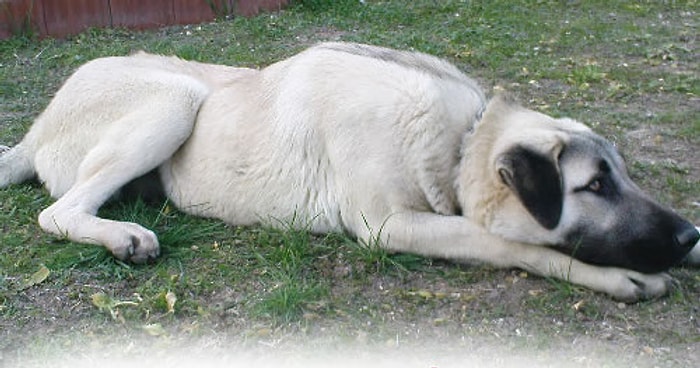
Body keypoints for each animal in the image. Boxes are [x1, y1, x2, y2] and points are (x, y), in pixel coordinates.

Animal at [1, 43, 700, 302]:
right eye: (595, 186)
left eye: (624, 176)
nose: (690, 235)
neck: (459, 141)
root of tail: (35, 129)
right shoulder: (388, 226)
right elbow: (502, 241)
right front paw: (615, 277)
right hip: (175, 100)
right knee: (56, 212)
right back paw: (122, 237)